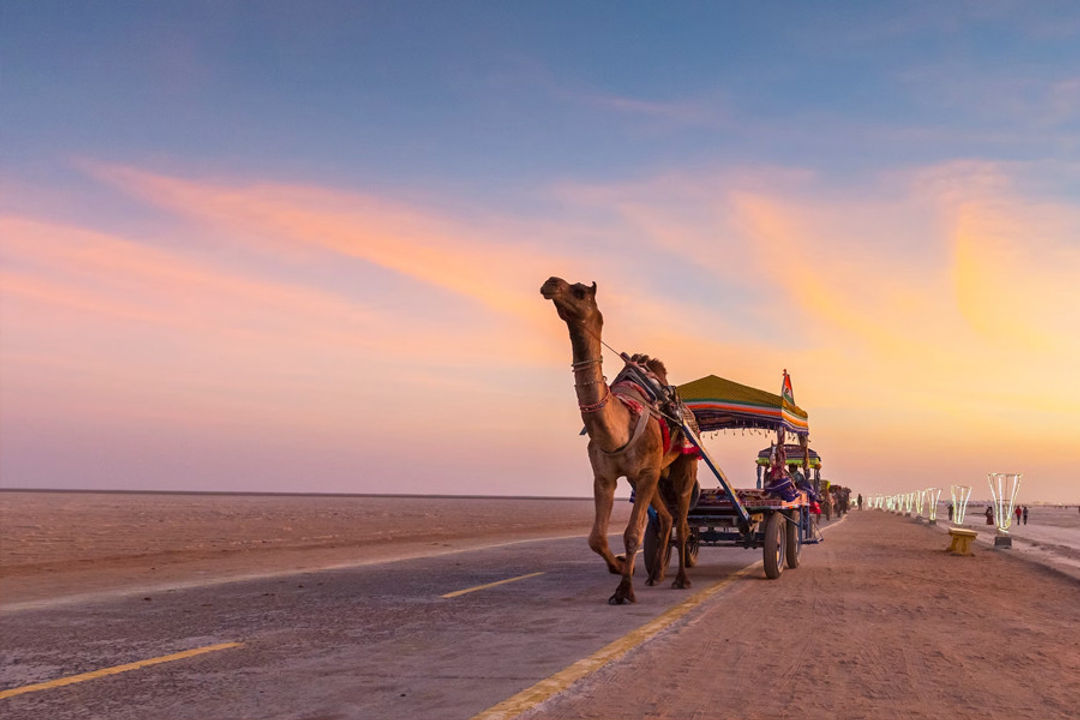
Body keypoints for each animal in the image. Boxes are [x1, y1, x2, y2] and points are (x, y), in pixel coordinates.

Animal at [540, 278, 699, 604]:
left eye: (580, 291)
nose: (551, 283)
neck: (619, 428)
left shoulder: (646, 472)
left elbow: (632, 533)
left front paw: (624, 590)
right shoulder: (606, 476)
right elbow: (596, 538)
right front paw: (621, 567)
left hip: (684, 464)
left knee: (683, 521)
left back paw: (681, 579)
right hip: (652, 476)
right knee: (667, 518)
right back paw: (656, 574)